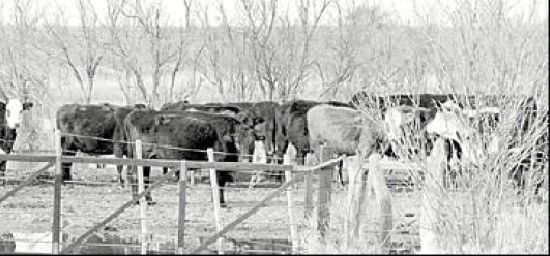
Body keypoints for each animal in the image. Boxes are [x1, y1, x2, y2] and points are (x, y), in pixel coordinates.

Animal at [124, 109, 258, 207]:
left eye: (252, 141)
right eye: (237, 141)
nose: (246, 159)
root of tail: (136, 113)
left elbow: (220, 184)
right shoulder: (217, 164)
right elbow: (218, 183)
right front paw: (220, 203)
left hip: (147, 160)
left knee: (144, 177)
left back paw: (149, 200)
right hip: (141, 156)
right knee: (136, 175)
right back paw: (137, 201)